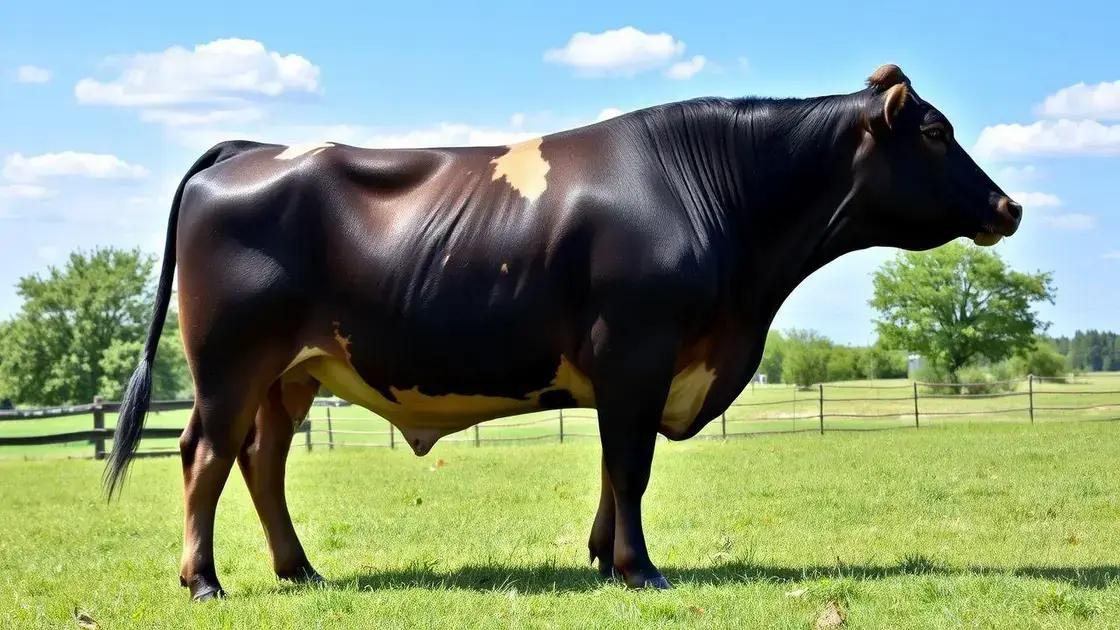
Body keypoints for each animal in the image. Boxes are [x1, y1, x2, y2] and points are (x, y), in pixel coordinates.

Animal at [105, 65, 1021, 600]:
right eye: (936, 132)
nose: (1009, 205)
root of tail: (253, 148)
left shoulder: (632, 370)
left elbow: (615, 471)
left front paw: (601, 556)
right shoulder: (637, 352)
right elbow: (632, 467)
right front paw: (639, 570)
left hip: (294, 372)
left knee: (262, 460)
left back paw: (301, 570)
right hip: (230, 362)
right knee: (205, 454)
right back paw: (203, 581)